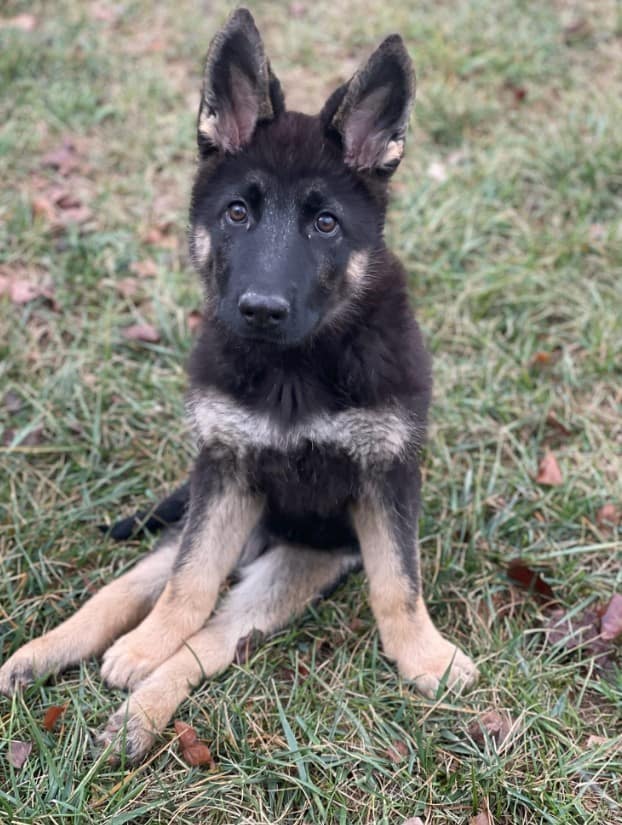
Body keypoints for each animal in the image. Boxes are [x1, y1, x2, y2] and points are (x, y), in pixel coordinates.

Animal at [0, 9, 478, 764]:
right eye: (236, 214)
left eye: (325, 223)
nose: (260, 309)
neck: (295, 366)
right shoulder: (223, 472)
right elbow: (189, 583)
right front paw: (141, 644)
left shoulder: (386, 473)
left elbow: (398, 582)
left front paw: (424, 656)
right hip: (217, 521)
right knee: (141, 588)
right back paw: (57, 655)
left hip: (292, 570)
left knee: (214, 637)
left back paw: (135, 718)